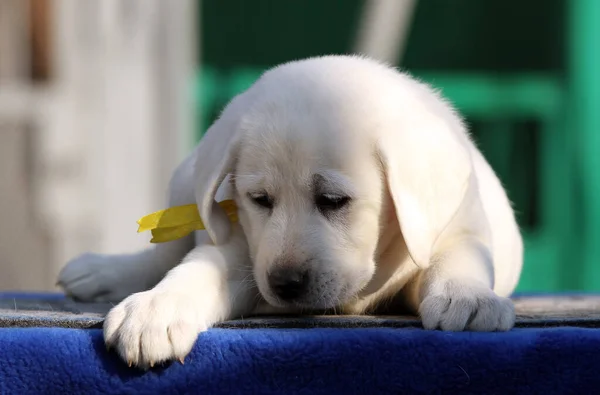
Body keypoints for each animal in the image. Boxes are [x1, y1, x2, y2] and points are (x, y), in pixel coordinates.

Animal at [58, 55, 524, 368]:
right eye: (259, 199)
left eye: (333, 200)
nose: (284, 284)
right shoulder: (239, 248)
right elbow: (194, 271)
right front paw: (156, 309)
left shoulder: (458, 229)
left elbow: (458, 258)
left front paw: (467, 297)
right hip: (184, 182)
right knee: (161, 257)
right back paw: (102, 272)